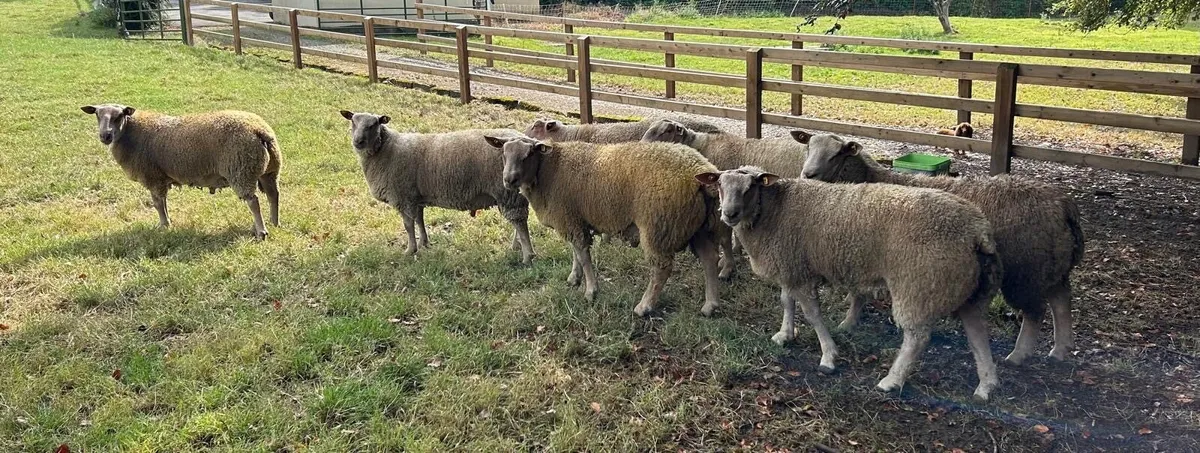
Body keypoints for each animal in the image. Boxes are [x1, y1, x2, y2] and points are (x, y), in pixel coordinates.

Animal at [80, 104, 282, 239]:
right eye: (97, 115)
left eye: (119, 116)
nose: (105, 136)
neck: (131, 133)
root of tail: (259, 130)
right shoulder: (161, 179)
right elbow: (163, 203)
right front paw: (168, 223)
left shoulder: (153, 177)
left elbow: (158, 204)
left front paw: (163, 226)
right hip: (269, 170)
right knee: (273, 195)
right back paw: (275, 222)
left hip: (241, 170)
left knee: (253, 201)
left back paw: (261, 231)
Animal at [339, 110, 535, 264]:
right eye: (353, 121)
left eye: (374, 124)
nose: (358, 141)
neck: (386, 150)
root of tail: (527, 139)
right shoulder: (415, 197)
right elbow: (419, 220)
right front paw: (424, 243)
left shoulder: (403, 196)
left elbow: (408, 225)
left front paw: (410, 250)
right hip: (513, 194)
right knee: (518, 222)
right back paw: (516, 246)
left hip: (508, 192)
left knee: (519, 221)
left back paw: (527, 255)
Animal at [484, 135, 725, 317]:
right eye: (504, 154)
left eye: (528, 155)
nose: (509, 180)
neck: (548, 171)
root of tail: (698, 172)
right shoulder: (573, 219)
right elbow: (575, 253)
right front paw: (574, 278)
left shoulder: (570, 219)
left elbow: (583, 256)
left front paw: (591, 291)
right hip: (703, 227)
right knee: (710, 260)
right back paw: (710, 306)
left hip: (659, 226)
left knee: (661, 269)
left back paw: (644, 306)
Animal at [698, 166, 1002, 401]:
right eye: (720, 185)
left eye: (750, 187)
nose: (729, 214)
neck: (773, 211)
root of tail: (977, 231)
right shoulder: (791, 266)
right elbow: (786, 301)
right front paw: (785, 335)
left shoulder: (799, 271)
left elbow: (812, 314)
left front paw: (828, 356)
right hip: (972, 289)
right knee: (977, 333)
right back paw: (986, 386)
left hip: (918, 285)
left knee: (917, 338)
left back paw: (892, 380)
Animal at [796, 131, 1084, 366]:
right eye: (808, 147)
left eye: (837, 154)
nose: (807, 175)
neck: (869, 178)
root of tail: (1062, 204)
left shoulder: (861, 251)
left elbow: (858, 293)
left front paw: (847, 323)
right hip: (1051, 264)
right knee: (1061, 300)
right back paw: (1061, 349)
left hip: (1026, 268)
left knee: (1036, 312)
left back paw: (1018, 355)